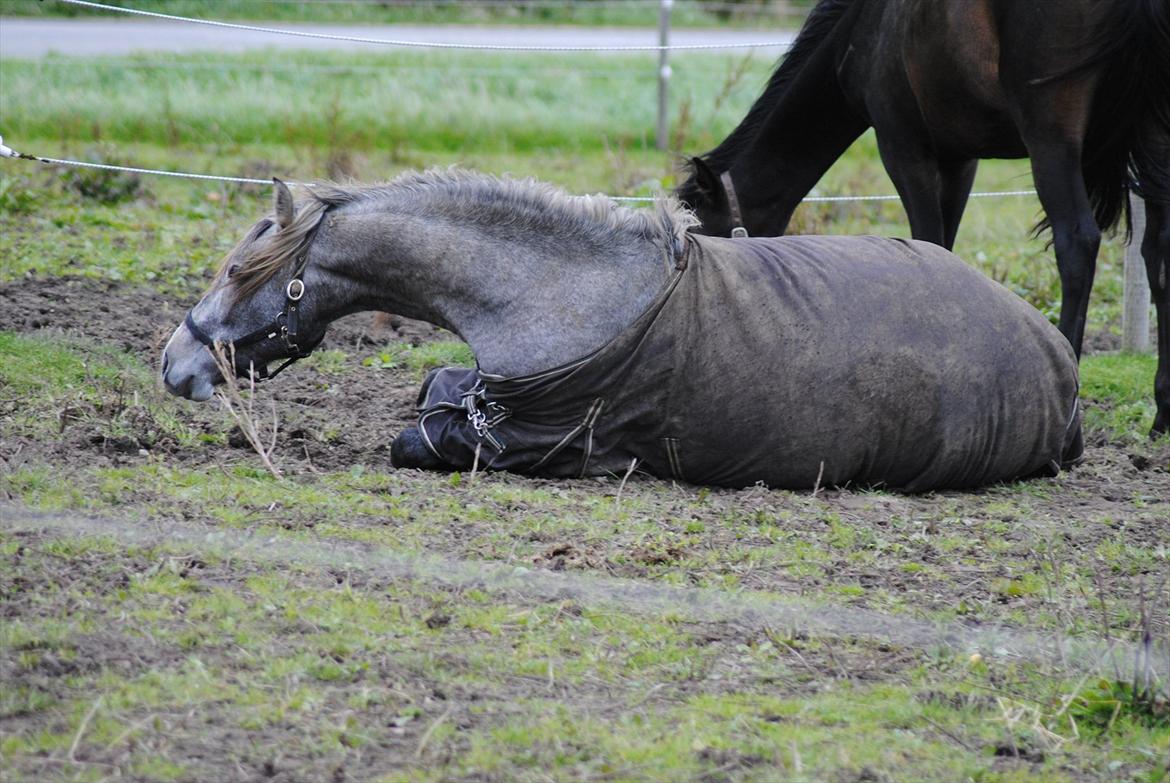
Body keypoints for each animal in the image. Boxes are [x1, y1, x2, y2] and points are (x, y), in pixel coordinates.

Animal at [162, 172, 1076, 489]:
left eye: (238, 268)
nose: (173, 362)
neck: (550, 290)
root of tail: (1058, 356)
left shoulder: (536, 441)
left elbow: (414, 437)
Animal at [678, 0, 1170, 433]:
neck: (864, 28)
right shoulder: (959, 160)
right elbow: (947, 249)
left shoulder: (902, 147)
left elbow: (928, 242)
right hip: (1154, 138)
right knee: (1157, 256)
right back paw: (1161, 416)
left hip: (1050, 135)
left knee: (1076, 245)